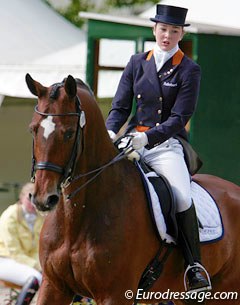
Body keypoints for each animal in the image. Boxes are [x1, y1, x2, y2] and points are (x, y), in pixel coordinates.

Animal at [25, 74, 240, 304]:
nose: (43, 198)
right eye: (33, 129)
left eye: (69, 133)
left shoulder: (115, 293)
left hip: (227, 291)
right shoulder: (54, 286)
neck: (76, 216)